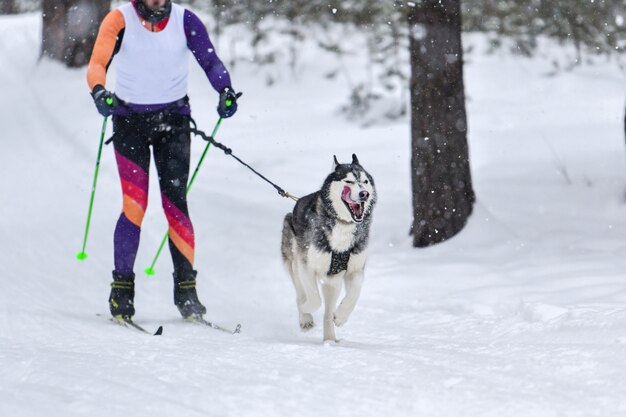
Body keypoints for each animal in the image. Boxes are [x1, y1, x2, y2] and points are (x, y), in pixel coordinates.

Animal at [280, 154, 376, 342]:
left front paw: (341, 316)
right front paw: (305, 311)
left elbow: (355, 293)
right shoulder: (306, 266)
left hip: (333, 282)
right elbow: (314, 300)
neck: (343, 225)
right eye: (348, 181)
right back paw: (305, 318)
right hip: (294, 263)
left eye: (365, 181)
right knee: (300, 293)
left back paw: (330, 339)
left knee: (327, 312)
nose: (364, 194)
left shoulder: (354, 270)